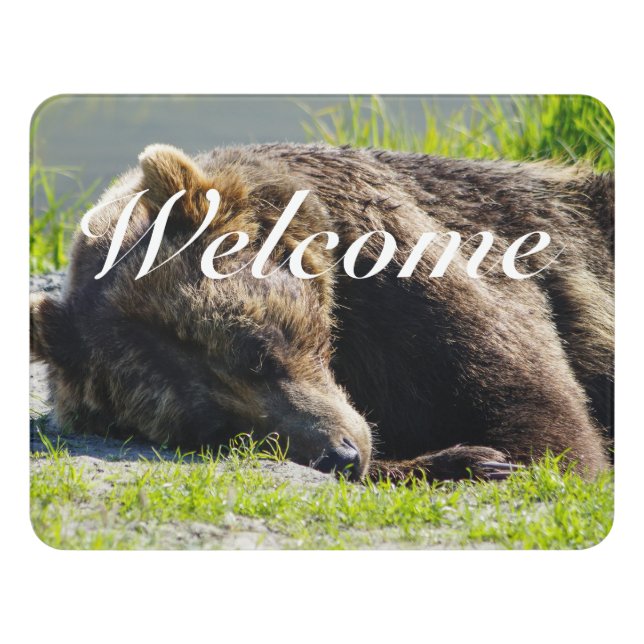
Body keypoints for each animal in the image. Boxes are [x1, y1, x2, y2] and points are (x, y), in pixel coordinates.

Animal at [30, 142, 614, 482]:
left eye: (257, 351)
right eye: (215, 427)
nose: (341, 454)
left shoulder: (419, 267)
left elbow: (548, 430)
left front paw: (484, 457)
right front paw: (462, 458)